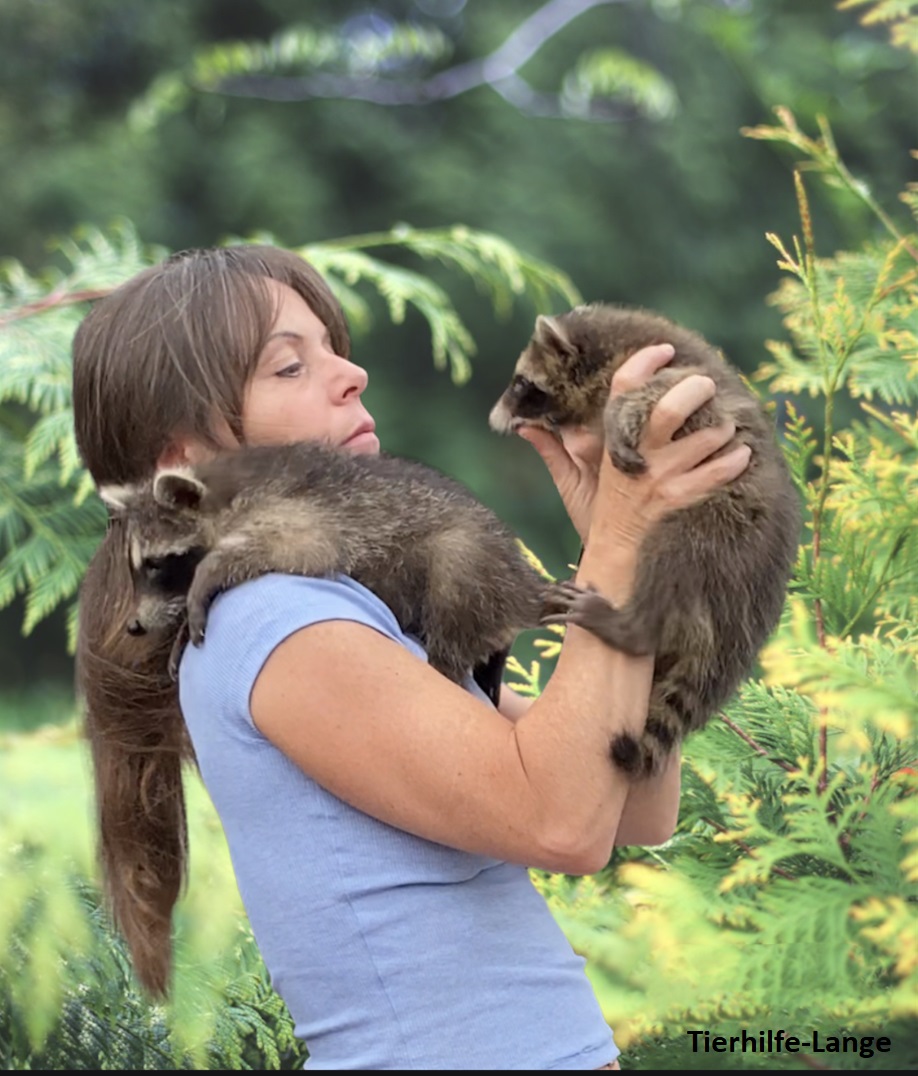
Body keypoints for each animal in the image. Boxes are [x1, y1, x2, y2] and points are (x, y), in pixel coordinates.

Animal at [98, 441, 615, 701]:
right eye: (136, 568)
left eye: (157, 564)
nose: (134, 625)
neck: (223, 487)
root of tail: (521, 581)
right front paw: (179, 625)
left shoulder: (297, 510)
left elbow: (295, 547)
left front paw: (204, 579)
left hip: (472, 564)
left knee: (454, 571)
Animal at [490, 299, 800, 779]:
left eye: (523, 383)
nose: (495, 417)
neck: (616, 347)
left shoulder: (692, 386)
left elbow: (650, 393)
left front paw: (618, 414)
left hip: (718, 531)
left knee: (670, 551)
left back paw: (632, 628)